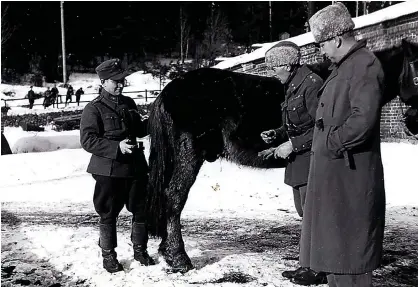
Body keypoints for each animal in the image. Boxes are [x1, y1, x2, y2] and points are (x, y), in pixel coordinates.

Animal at [145, 39, 416, 274]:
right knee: (174, 198)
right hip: (188, 157)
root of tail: (167, 92)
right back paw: (179, 257)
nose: (413, 121)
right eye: (415, 68)